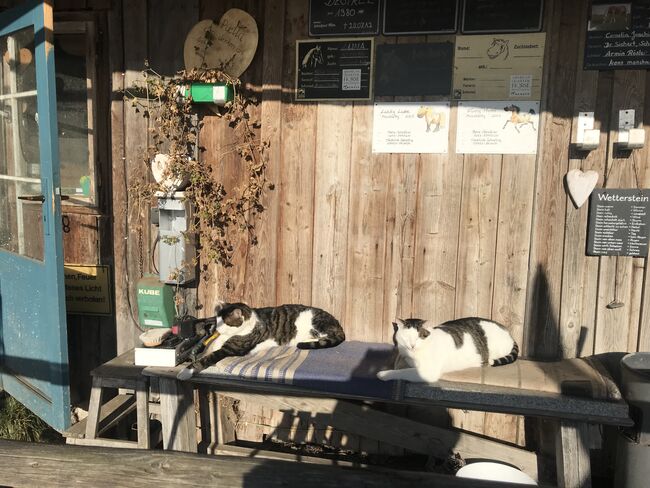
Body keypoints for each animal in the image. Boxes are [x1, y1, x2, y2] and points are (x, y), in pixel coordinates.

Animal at [177, 302, 345, 380]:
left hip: (317, 323)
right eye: (217, 320)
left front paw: (185, 372)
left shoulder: (231, 349)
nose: (217, 328)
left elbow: (207, 357)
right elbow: (210, 346)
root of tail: (338, 324)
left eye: (224, 322)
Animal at [377, 317, 519, 383]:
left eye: (419, 337)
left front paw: (383, 374)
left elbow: (402, 372)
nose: (412, 345)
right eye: (406, 337)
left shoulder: (428, 372)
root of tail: (508, 331)